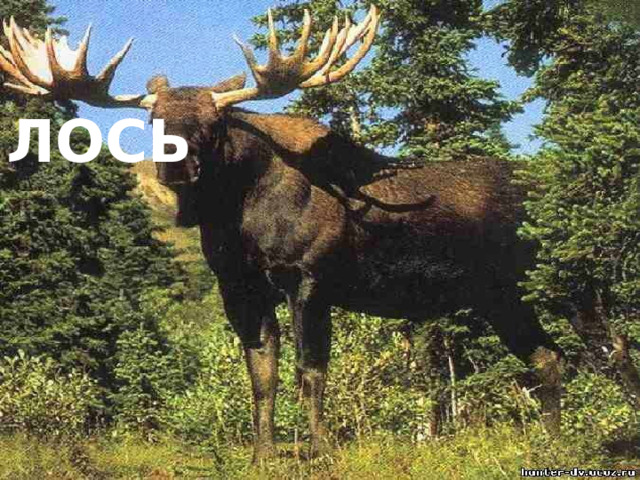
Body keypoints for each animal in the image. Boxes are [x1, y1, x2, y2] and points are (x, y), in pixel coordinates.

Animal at [0, 6, 564, 462]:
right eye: (154, 121)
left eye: (214, 123)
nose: (176, 166)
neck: (240, 219)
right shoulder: (239, 286)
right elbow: (261, 375)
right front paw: (262, 456)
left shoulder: (309, 279)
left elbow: (309, 371)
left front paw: (319, 452)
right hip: (501, 298)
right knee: (546, 357)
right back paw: (550, 442)